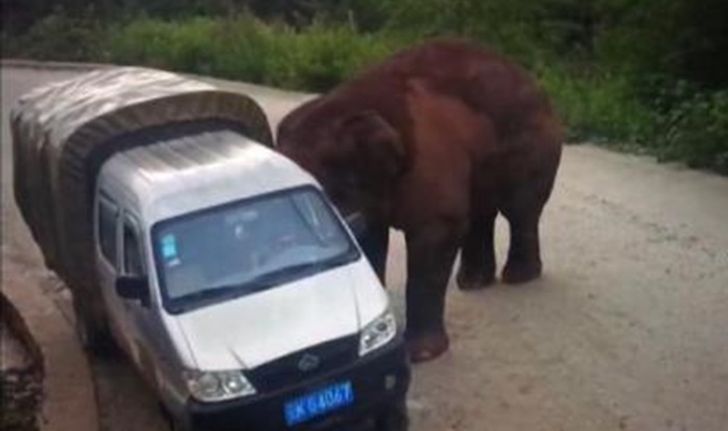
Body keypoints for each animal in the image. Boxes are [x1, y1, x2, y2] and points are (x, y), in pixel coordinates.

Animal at [274, 39, 564, 364]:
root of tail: (534, 83)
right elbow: (370, 238)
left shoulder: (430, 159)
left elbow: (438, 230)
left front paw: (421, 355)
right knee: (481, 214)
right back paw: (474, 282)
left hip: (534, 145)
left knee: (520, 209)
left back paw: (518, 277)